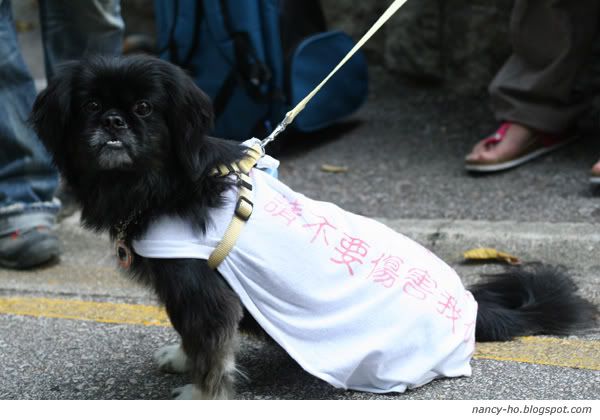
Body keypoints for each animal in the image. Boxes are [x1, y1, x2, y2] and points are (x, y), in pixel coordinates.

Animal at [30, 55, 596, 400]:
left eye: (144, 108)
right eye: (91, 105)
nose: (114, 121)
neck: (161, 182)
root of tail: (473, 311)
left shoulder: (202, 291)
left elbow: (211, 349)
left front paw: (201, 393)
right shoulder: (185, 293)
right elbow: (192, 338)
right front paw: (181, 359)